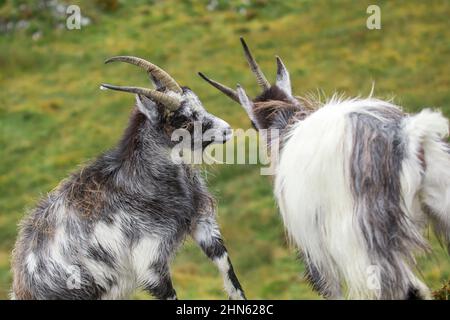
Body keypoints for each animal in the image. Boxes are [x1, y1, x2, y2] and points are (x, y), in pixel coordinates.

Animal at [10, 55, 244, 300]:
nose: (227, 129)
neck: (142, 182)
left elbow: (229, 273)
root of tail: (20, 285)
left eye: (198, 104)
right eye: (184, 121)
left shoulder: (203, 225)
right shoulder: (149, 261)